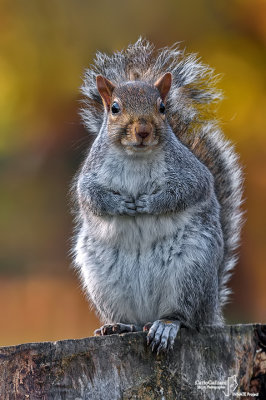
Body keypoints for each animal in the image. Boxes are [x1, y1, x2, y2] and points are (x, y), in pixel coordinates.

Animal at [72, 38, 243, 354]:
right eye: (114, 108)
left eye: (162, 108)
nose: (142, 130)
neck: (136, 157)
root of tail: (211, 310)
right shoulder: (90, 176)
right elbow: (91, 197)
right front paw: (120, 204)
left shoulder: (190, 173)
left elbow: (188, 191)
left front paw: (149, 203)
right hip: (104, 283)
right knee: (133, 321)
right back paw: (119, 326)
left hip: (191, 271)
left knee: (184, 317)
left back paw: (166, 326)